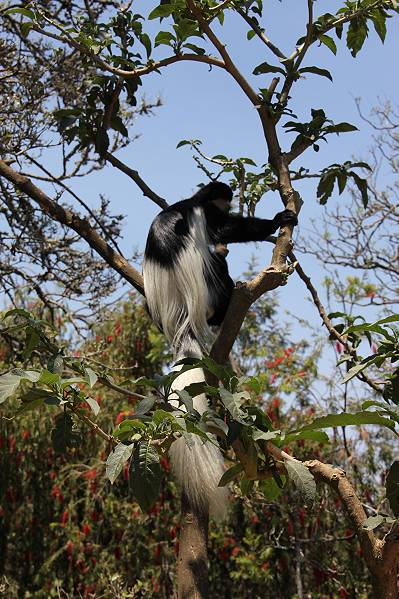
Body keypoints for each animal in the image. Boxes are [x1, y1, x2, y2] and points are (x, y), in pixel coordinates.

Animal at [143, 180, 296, 516]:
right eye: (226, 201)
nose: (230, 202)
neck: (190, 201)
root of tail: (183, 316)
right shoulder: (207, 215)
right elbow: (228, 229)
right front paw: (278, 220)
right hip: (211, 290)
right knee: (216, 261)